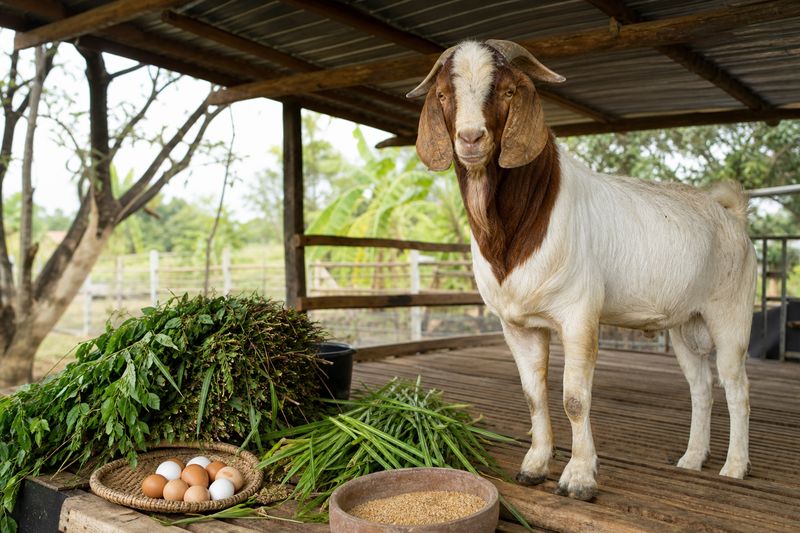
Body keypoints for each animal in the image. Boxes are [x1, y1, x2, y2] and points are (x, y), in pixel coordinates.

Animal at [407, 40, 757, 500]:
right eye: (444, 95)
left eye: (507, 91)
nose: (470, 138)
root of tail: (730, 213)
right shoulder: (516, 324)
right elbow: (533, 395)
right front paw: (534, 466)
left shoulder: (578, 314)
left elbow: (574, 398)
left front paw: (578, 478)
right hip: (686, 323)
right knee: (701, 387)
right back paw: (691, 459)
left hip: (730, 313)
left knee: (736, 387)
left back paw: (733, 468)